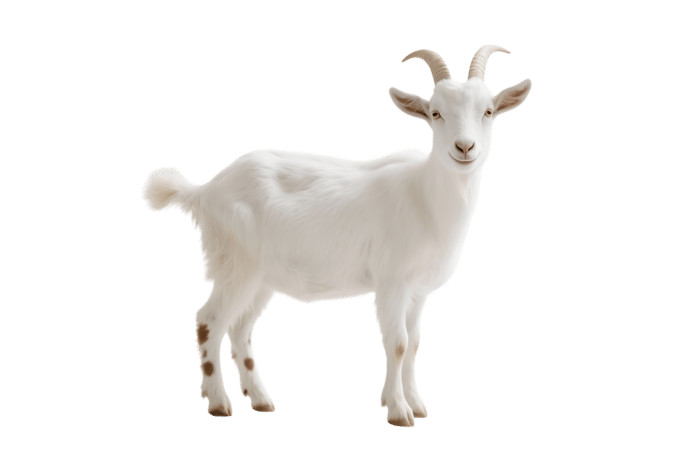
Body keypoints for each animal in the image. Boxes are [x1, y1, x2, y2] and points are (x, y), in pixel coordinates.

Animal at [141, 45, 532, 428]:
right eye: (435, 113)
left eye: (488, 111)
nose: (465, 148)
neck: (424, 196)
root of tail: (205, 189)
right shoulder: (391, 281)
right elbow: (397, 343)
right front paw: (399, 412)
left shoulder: (418, 290)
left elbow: (415, 343)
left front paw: (414, 404)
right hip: (237, 267)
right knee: (208, 322)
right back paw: (219, 404)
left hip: (262, 279)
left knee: (240, 330)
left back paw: (261, 401)